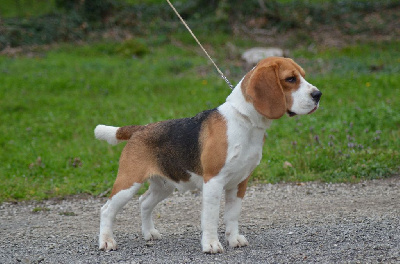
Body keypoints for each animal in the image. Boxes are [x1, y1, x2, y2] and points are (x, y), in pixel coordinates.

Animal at [94, 56, 322, 253]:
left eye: (303, 75)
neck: (245, 120)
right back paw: (106, 241)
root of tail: (139, 129)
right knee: (106, 210)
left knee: (144, 203)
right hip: (128, 183)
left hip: (164, 185)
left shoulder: (240, 182)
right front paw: (211, 244)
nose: (318, 94)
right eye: (290, 79)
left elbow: (232, 215)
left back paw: (149, 233)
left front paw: (233, 239)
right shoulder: (213, 181)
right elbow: (211, 217)